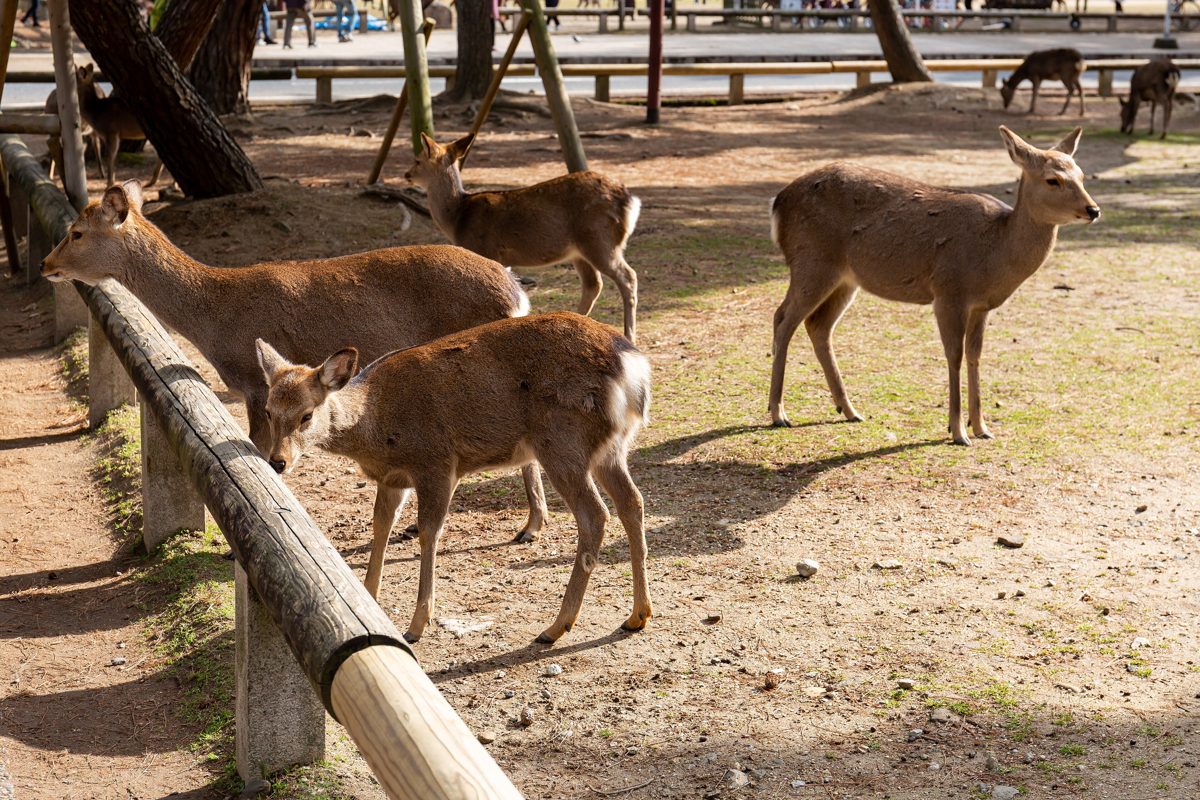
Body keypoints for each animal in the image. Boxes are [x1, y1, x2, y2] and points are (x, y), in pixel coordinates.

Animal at [41, 180, 552, 544]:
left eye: (77, 232)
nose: (47, 263)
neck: (214, 316)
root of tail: (517, 291)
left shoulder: (253, 383)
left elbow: (260, 455)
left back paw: (529, 527)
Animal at [255, 311, 653, 645]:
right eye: (269, 410)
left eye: (307, 415)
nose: (277, 462)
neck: (375, 424)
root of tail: (633, 368)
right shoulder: (393, 478)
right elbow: (380, 525)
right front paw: (368, 597)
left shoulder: (437, 463)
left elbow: (429, 532)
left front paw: (417, 625)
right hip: (611, 447)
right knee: (632, 502)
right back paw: (636, 616)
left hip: (562, 441)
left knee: (595, 514)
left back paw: (555, 627)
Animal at [405, 132, 642, 344]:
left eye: (417, 160)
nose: (407, 174)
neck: (457, 218)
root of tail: (631, 201)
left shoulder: (485, 249)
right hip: (579, 250)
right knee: (593, 283)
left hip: (599, 240)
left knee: (628, 276)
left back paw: (629, 335)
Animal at [768, 126, 1100, 446]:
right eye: (1052, 180)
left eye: (1082, 175)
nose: (1093, 209)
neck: (995, 254)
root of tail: (778, 203)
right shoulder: (948, 292)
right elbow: (954, 355)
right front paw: (958, 432)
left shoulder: (982, 306)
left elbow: (975, 355)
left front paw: (982, 428)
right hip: (811, 262)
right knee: (783, 318)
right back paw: (778, 413)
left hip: (845, 279)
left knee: (818, 325)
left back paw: (849, 410)